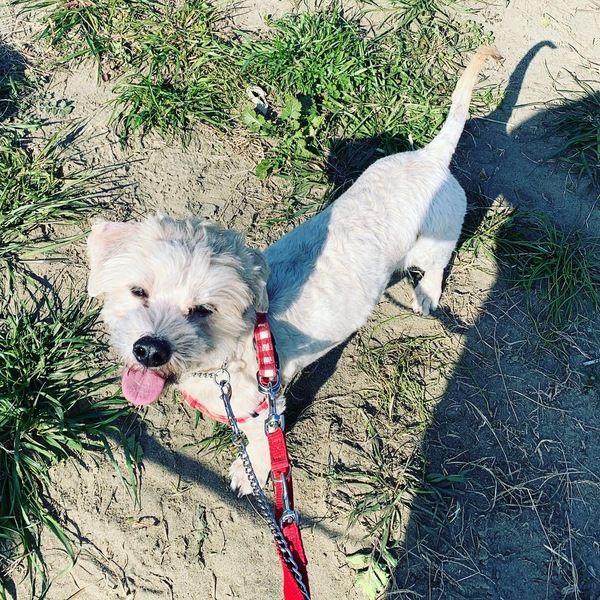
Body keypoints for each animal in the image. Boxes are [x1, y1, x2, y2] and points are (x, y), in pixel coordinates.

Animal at [88, 46, 500, 496]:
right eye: (138, 292)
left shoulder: (264, 409)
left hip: (433, 244)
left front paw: (249, 472)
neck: (230, 353)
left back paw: (426, 295)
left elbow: (261, 446)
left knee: (436, 268)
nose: (149, 349)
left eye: (203, 310)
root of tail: (431, 157)